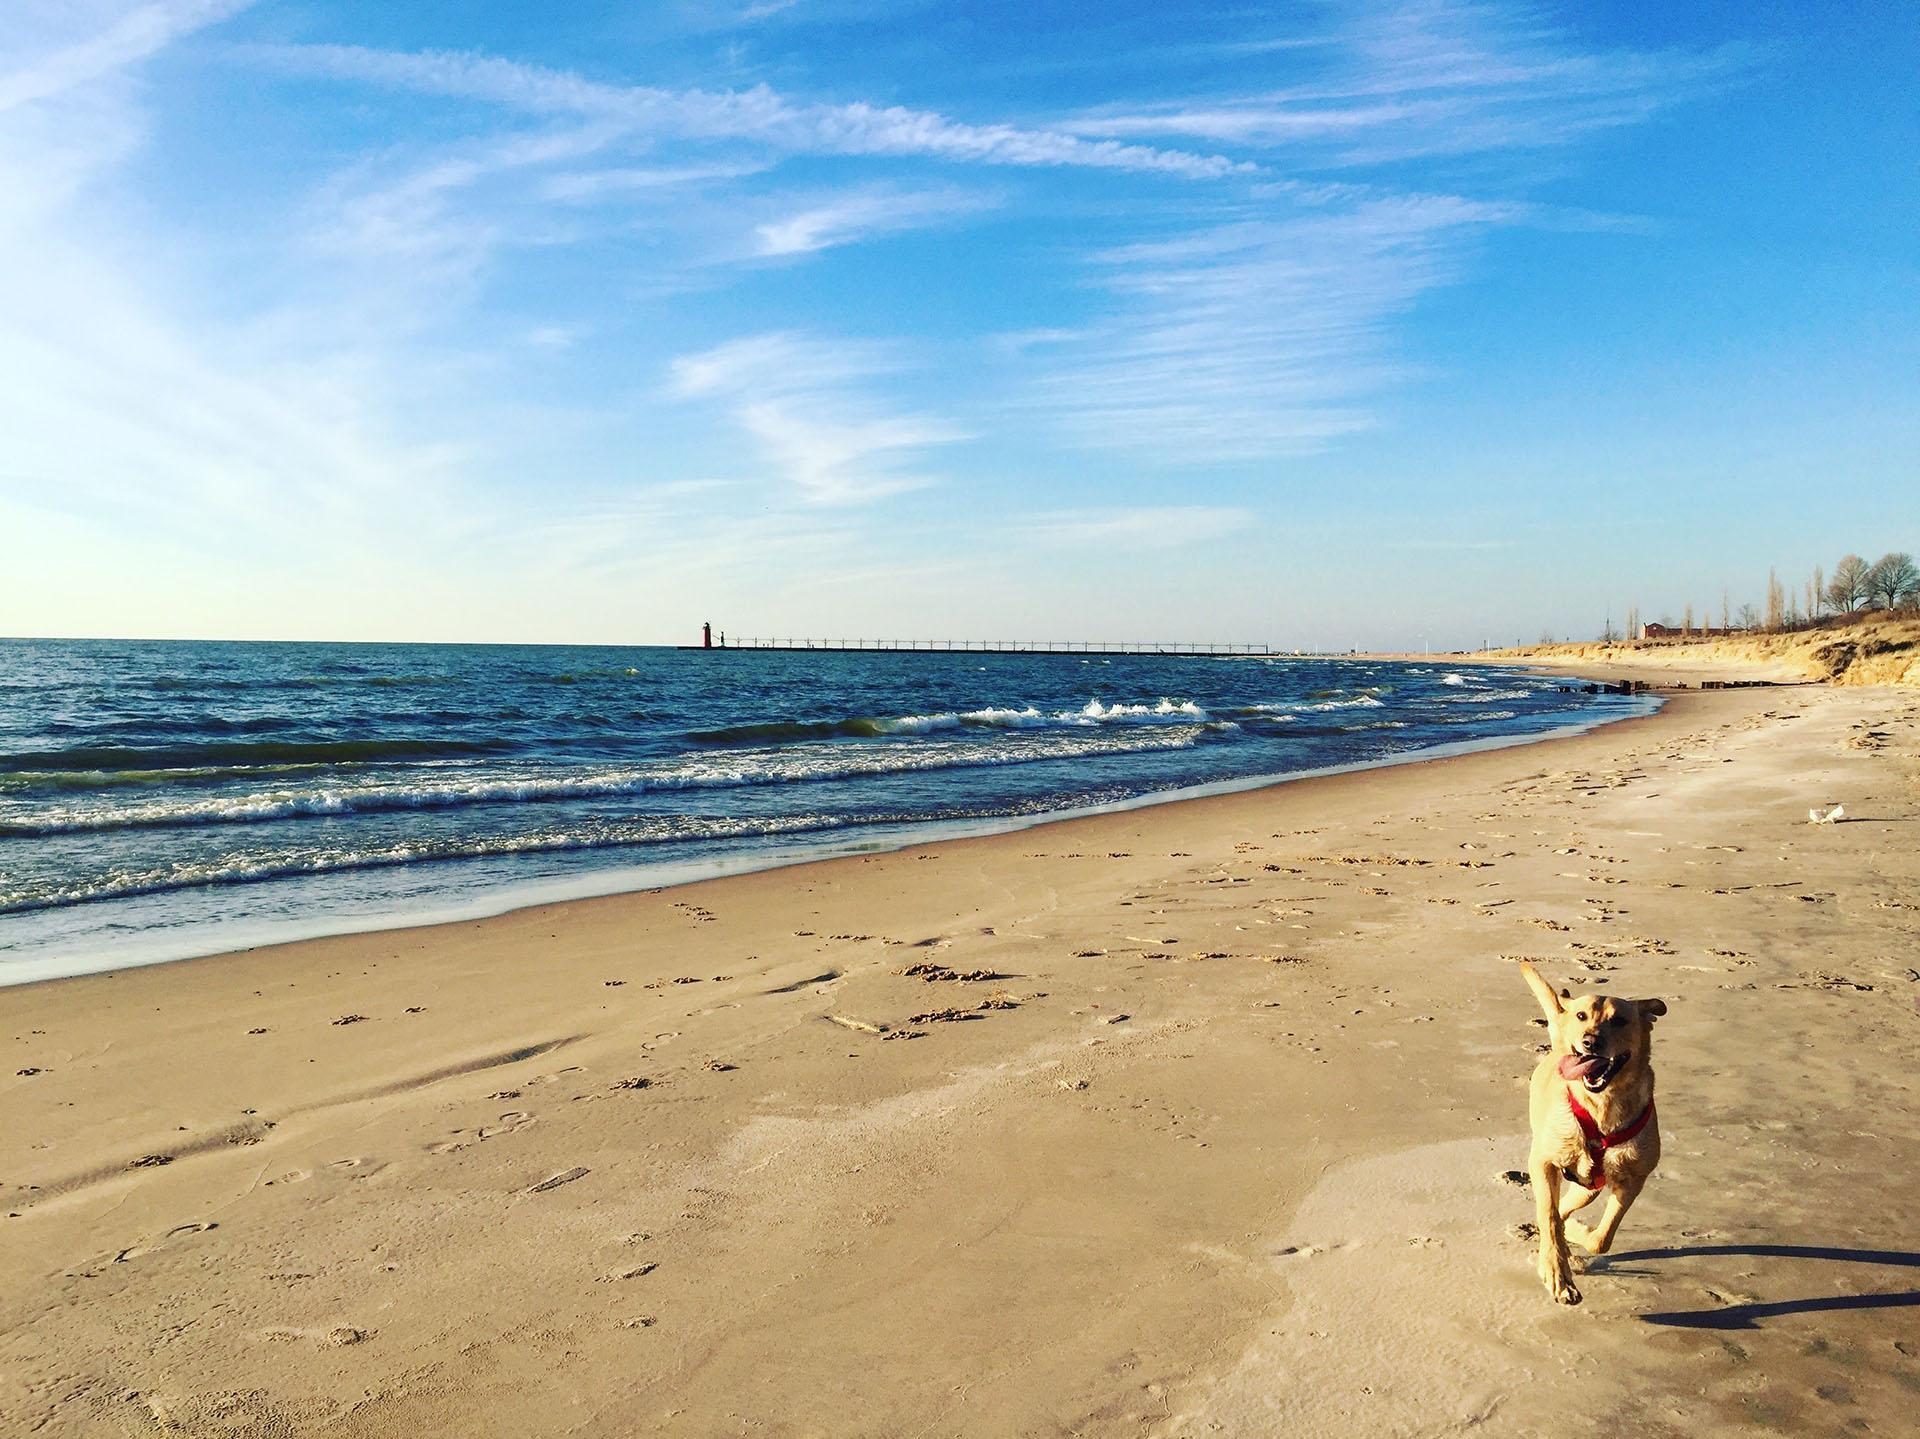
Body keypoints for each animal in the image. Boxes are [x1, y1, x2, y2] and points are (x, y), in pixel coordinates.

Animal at [1512, 960, 1666, 1306]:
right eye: (1582, 1016)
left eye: (1619, 1020)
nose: (1590, 1042)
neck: (1601, 1109)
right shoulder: (1543, 1161)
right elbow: (1549, 1215)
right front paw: (1558, 1274)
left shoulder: (1634, 1178)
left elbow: (1602, 1238)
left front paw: (1578, 1239)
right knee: (1553, 1210)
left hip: (1590, 1186)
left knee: (1569, 1206)